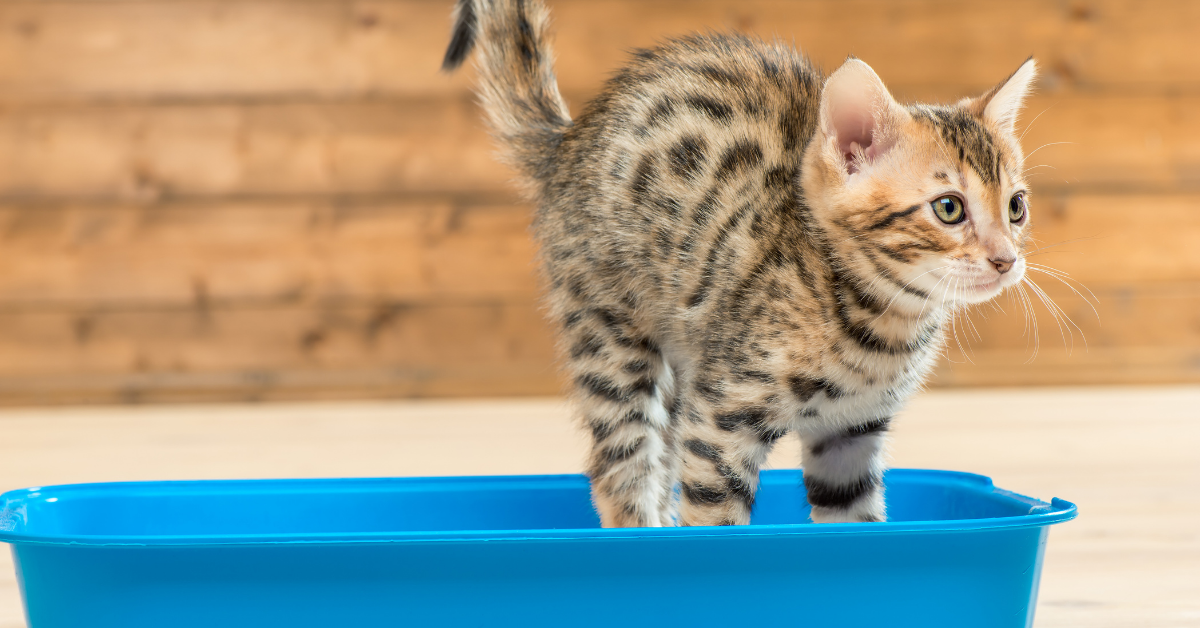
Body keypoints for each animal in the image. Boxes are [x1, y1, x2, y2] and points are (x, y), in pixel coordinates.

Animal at [441, 0, 1032, 528]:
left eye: (1016, 207)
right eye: (949, 208)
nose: (1006, 259)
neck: (879, 322)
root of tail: (568, 140)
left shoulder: (850, 432)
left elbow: (855, 522)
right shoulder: (720, 422)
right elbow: (717, 524)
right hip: (611, 338)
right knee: (621, 468)